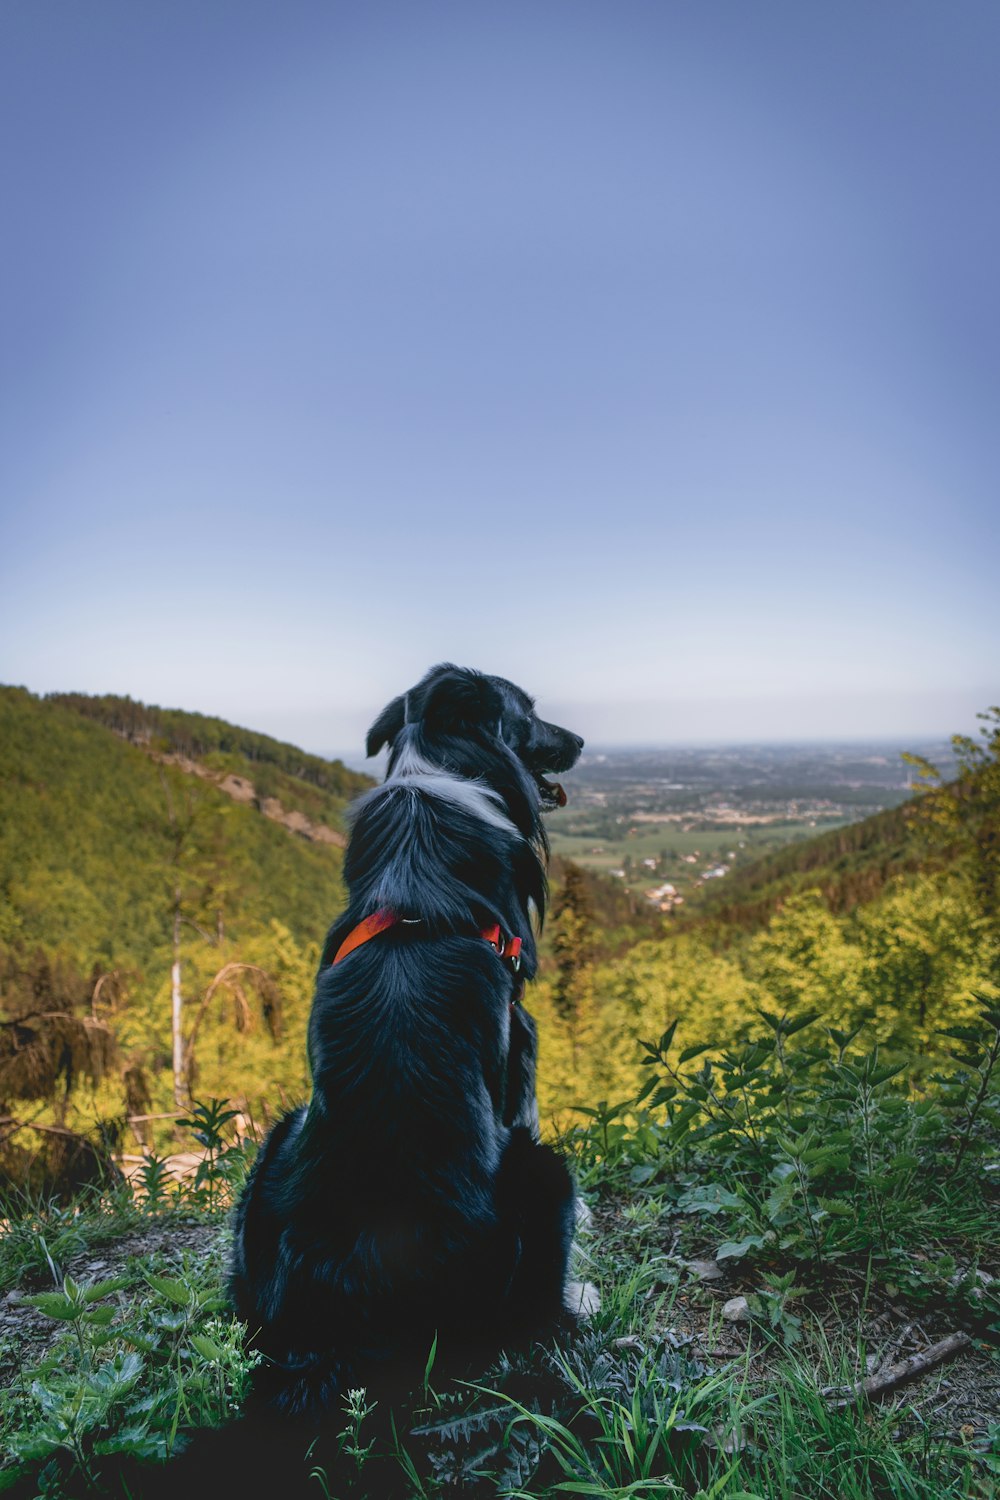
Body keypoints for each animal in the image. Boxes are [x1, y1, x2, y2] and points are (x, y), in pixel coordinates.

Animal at [226, 666, 587, 1416]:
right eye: (530, 711)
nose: (579, 742)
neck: (444, 767)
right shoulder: (519, 1034)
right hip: (545, 1171)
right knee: (533, 1316)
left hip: (276, 1142)